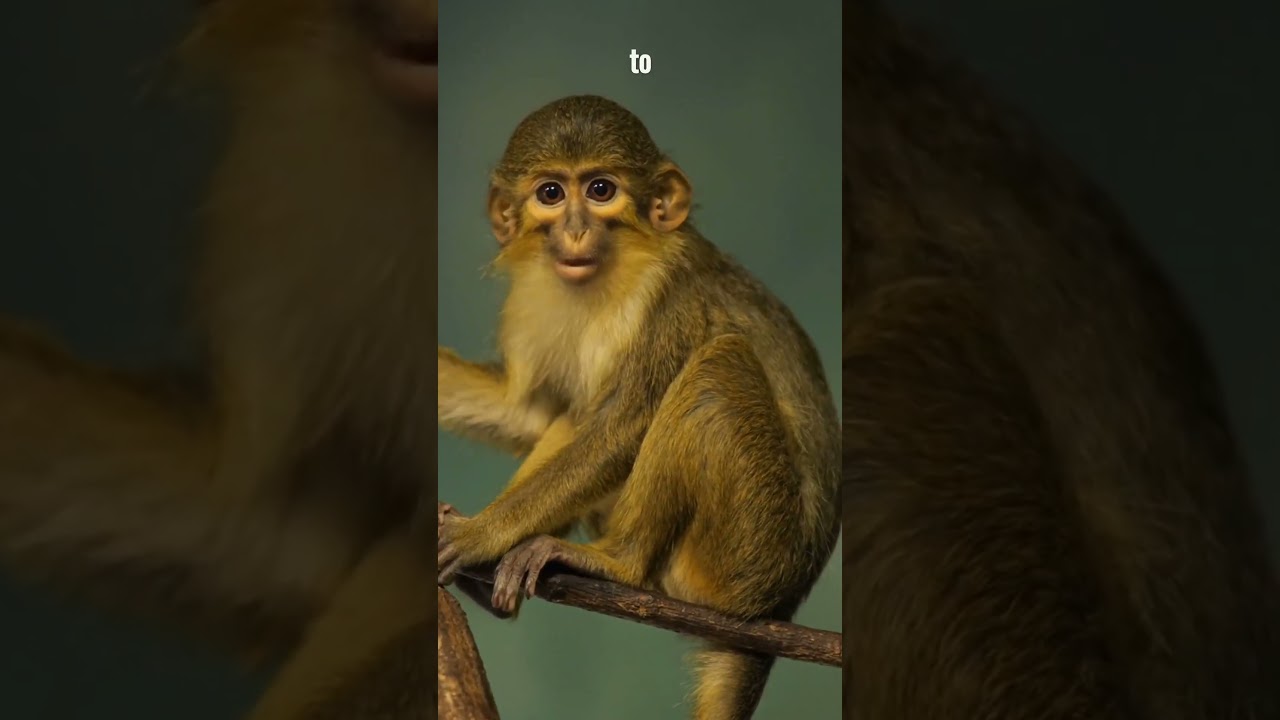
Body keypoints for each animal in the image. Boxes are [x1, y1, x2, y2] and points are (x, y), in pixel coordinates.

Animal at [435, 94, 842, 720]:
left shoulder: (670, 296)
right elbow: (534, 415)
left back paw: (618, 563)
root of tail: (781, 606)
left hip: (745, 555)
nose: (576, 228)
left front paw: (481, 534)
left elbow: (622, 427)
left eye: (601, 189)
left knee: (716, 370)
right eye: (551, 193)